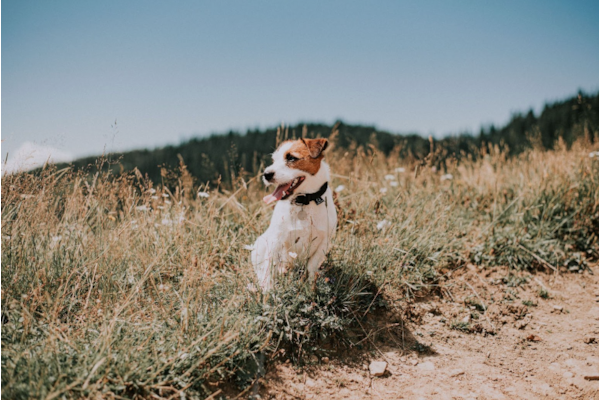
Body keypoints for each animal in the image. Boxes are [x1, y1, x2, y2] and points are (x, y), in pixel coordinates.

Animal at [250, 138, 338, 290]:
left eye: (291, 158)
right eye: (274, 160)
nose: (266, 174)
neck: (305, 201)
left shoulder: (323, 243)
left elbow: (311, 268)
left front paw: (310, 288)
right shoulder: (275, 240)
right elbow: (269, 268)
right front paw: (268, 291)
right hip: (260, 244)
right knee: (261, 269)